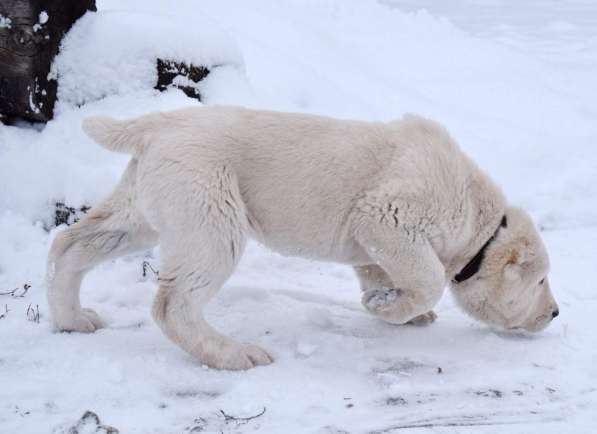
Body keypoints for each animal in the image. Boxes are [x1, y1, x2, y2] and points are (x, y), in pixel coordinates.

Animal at [46, 106, 560, 370]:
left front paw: (389, 302)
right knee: (177, 301)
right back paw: (235, 354)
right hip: (208, 200)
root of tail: (156, 124)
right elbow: (427, 275)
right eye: (538, 282)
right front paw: (390, 307)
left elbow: (378, 268)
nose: (554, 313)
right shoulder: (390, 214)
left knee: (76, 241)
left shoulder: (373, 238)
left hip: (150, 198)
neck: (482, 223)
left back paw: (72, 319)